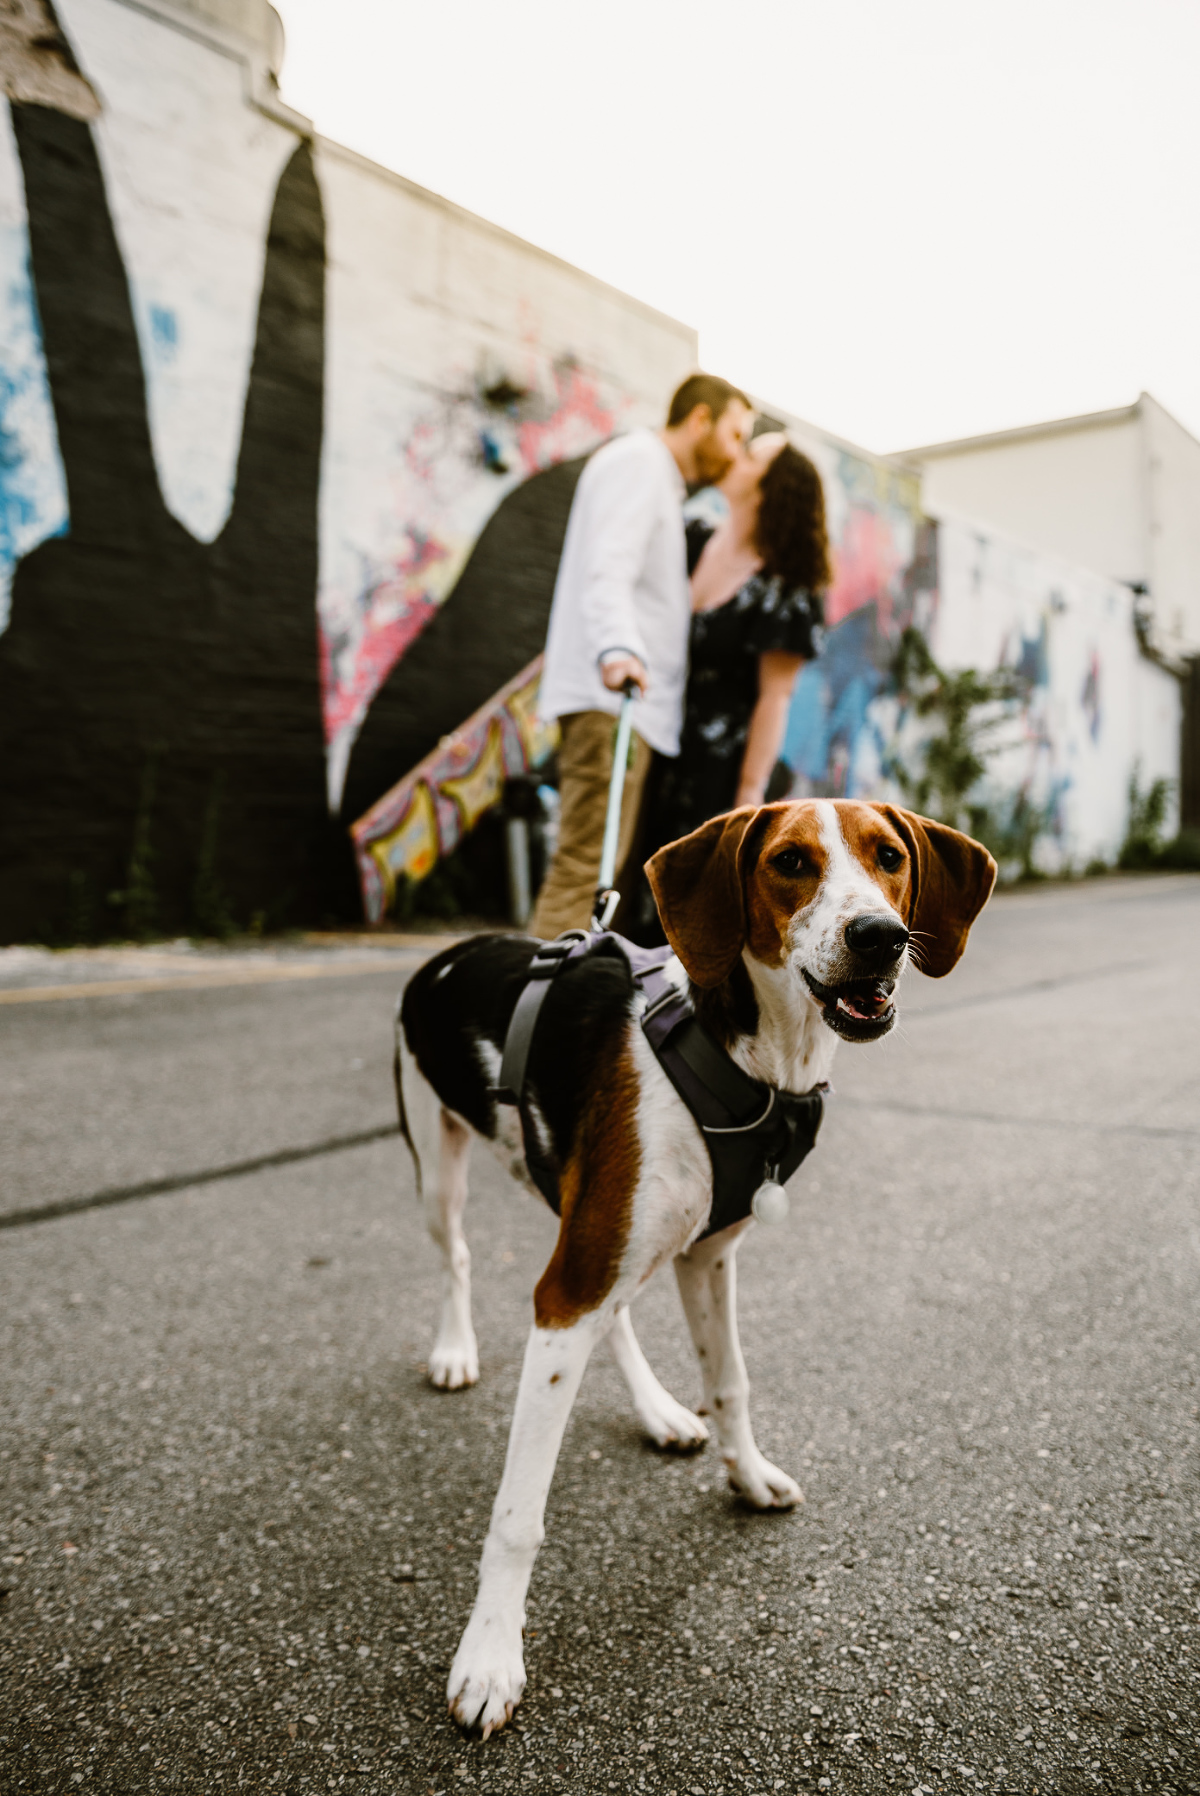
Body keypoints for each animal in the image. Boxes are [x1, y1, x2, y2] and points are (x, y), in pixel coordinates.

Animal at [393, 797, 991, 1724]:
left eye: (890, 856)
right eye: (790, 862)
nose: (880, 936)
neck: (751, 1060)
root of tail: (448, 953)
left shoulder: (704, 1255)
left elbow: (731, 1380)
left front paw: (745, 1472)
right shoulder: (571, 1287)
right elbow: (519, 1514)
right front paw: (488, 1657)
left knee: (616, 1318)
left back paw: (660, 1412)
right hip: (444, 1170)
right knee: (456, 1255)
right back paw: (455, 1351)